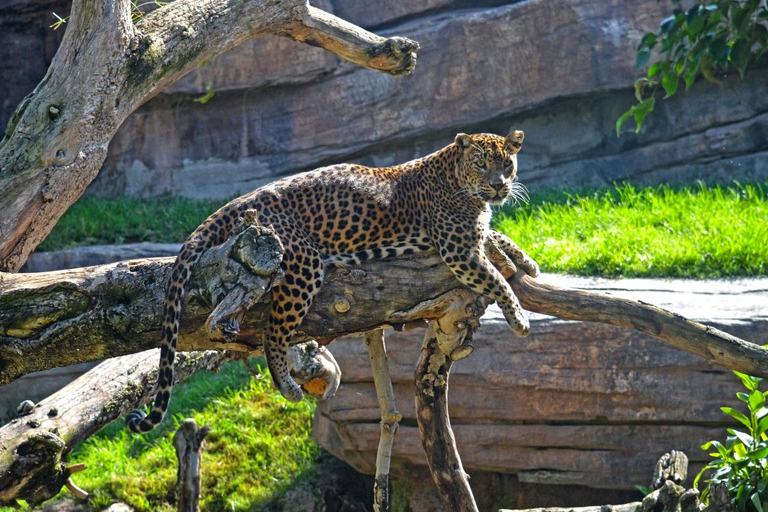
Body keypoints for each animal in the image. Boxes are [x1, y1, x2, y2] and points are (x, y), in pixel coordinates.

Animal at [126, 129, 540, 432]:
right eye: (482, 163)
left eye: (507, 163)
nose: (499, 185)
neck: (456, 177)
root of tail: (241, 200)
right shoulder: (458, 250)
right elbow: (495, 280)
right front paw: (519, 318)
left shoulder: (471, 238)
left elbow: (496, 236)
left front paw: (526, 261)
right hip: (302, 263)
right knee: (274, 331)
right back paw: (287, 385)